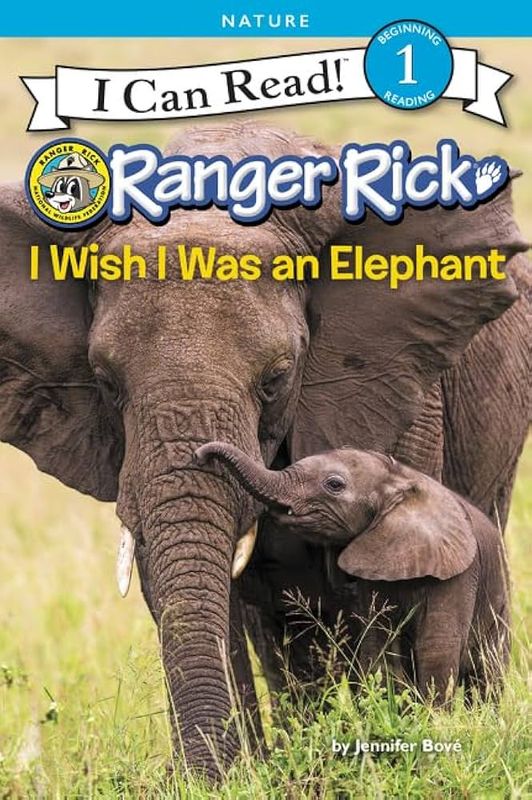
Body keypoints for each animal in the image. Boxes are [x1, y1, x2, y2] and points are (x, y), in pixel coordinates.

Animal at [195, 442, 511, 705]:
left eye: (334, 484)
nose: (200, 455)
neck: (399, 479)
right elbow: (377, 643)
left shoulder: (458, 575)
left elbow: (437, 649)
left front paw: (432, 723)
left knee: (487, 675)